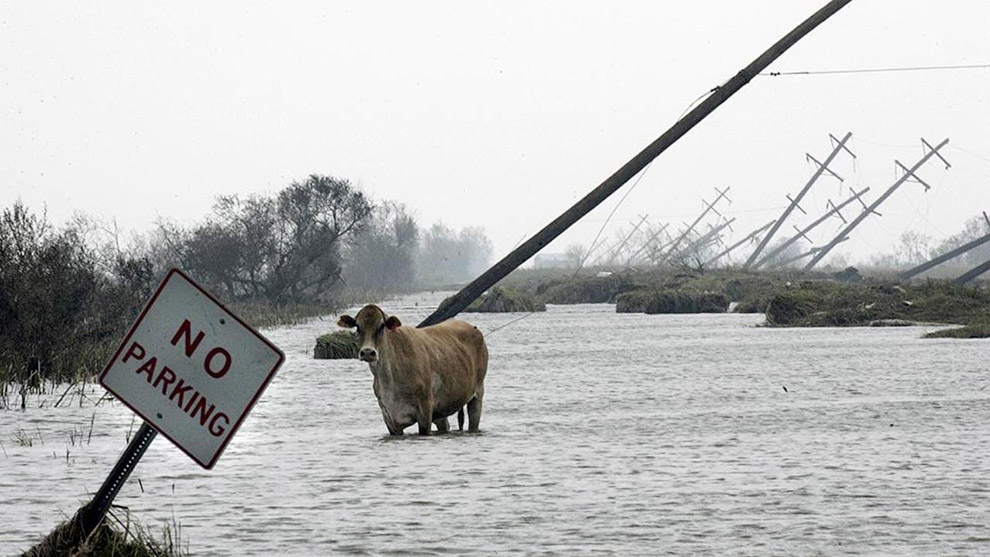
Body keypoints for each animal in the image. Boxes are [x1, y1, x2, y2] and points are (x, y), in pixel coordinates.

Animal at [340, 304, 490, 434]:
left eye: (381, 326)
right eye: (358, 326)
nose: (367, 352)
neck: (389, 378)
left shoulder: (425, 411)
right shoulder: (389, 417)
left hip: (477, 394)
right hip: (441, 409)